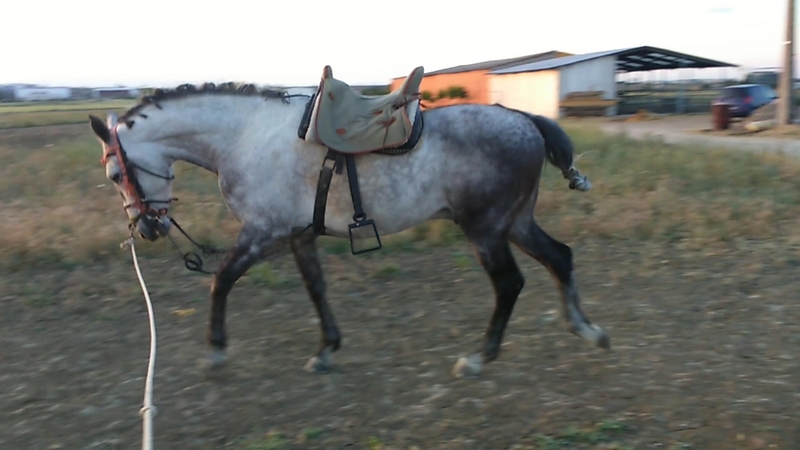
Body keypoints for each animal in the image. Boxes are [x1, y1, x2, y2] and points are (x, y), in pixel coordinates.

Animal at [88, 80, 609, 378]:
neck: (244, 136)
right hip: (515, 222)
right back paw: (586, 329)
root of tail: (524, 119)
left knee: (509, 284)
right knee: (560, 257)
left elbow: (221, 281)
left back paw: (481, 357)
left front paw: (216, 351)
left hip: (485, 229)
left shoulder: (263, 233)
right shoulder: (298, 236)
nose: (146, 228)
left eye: (114, 174)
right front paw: (327, 349)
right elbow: (316, 289)